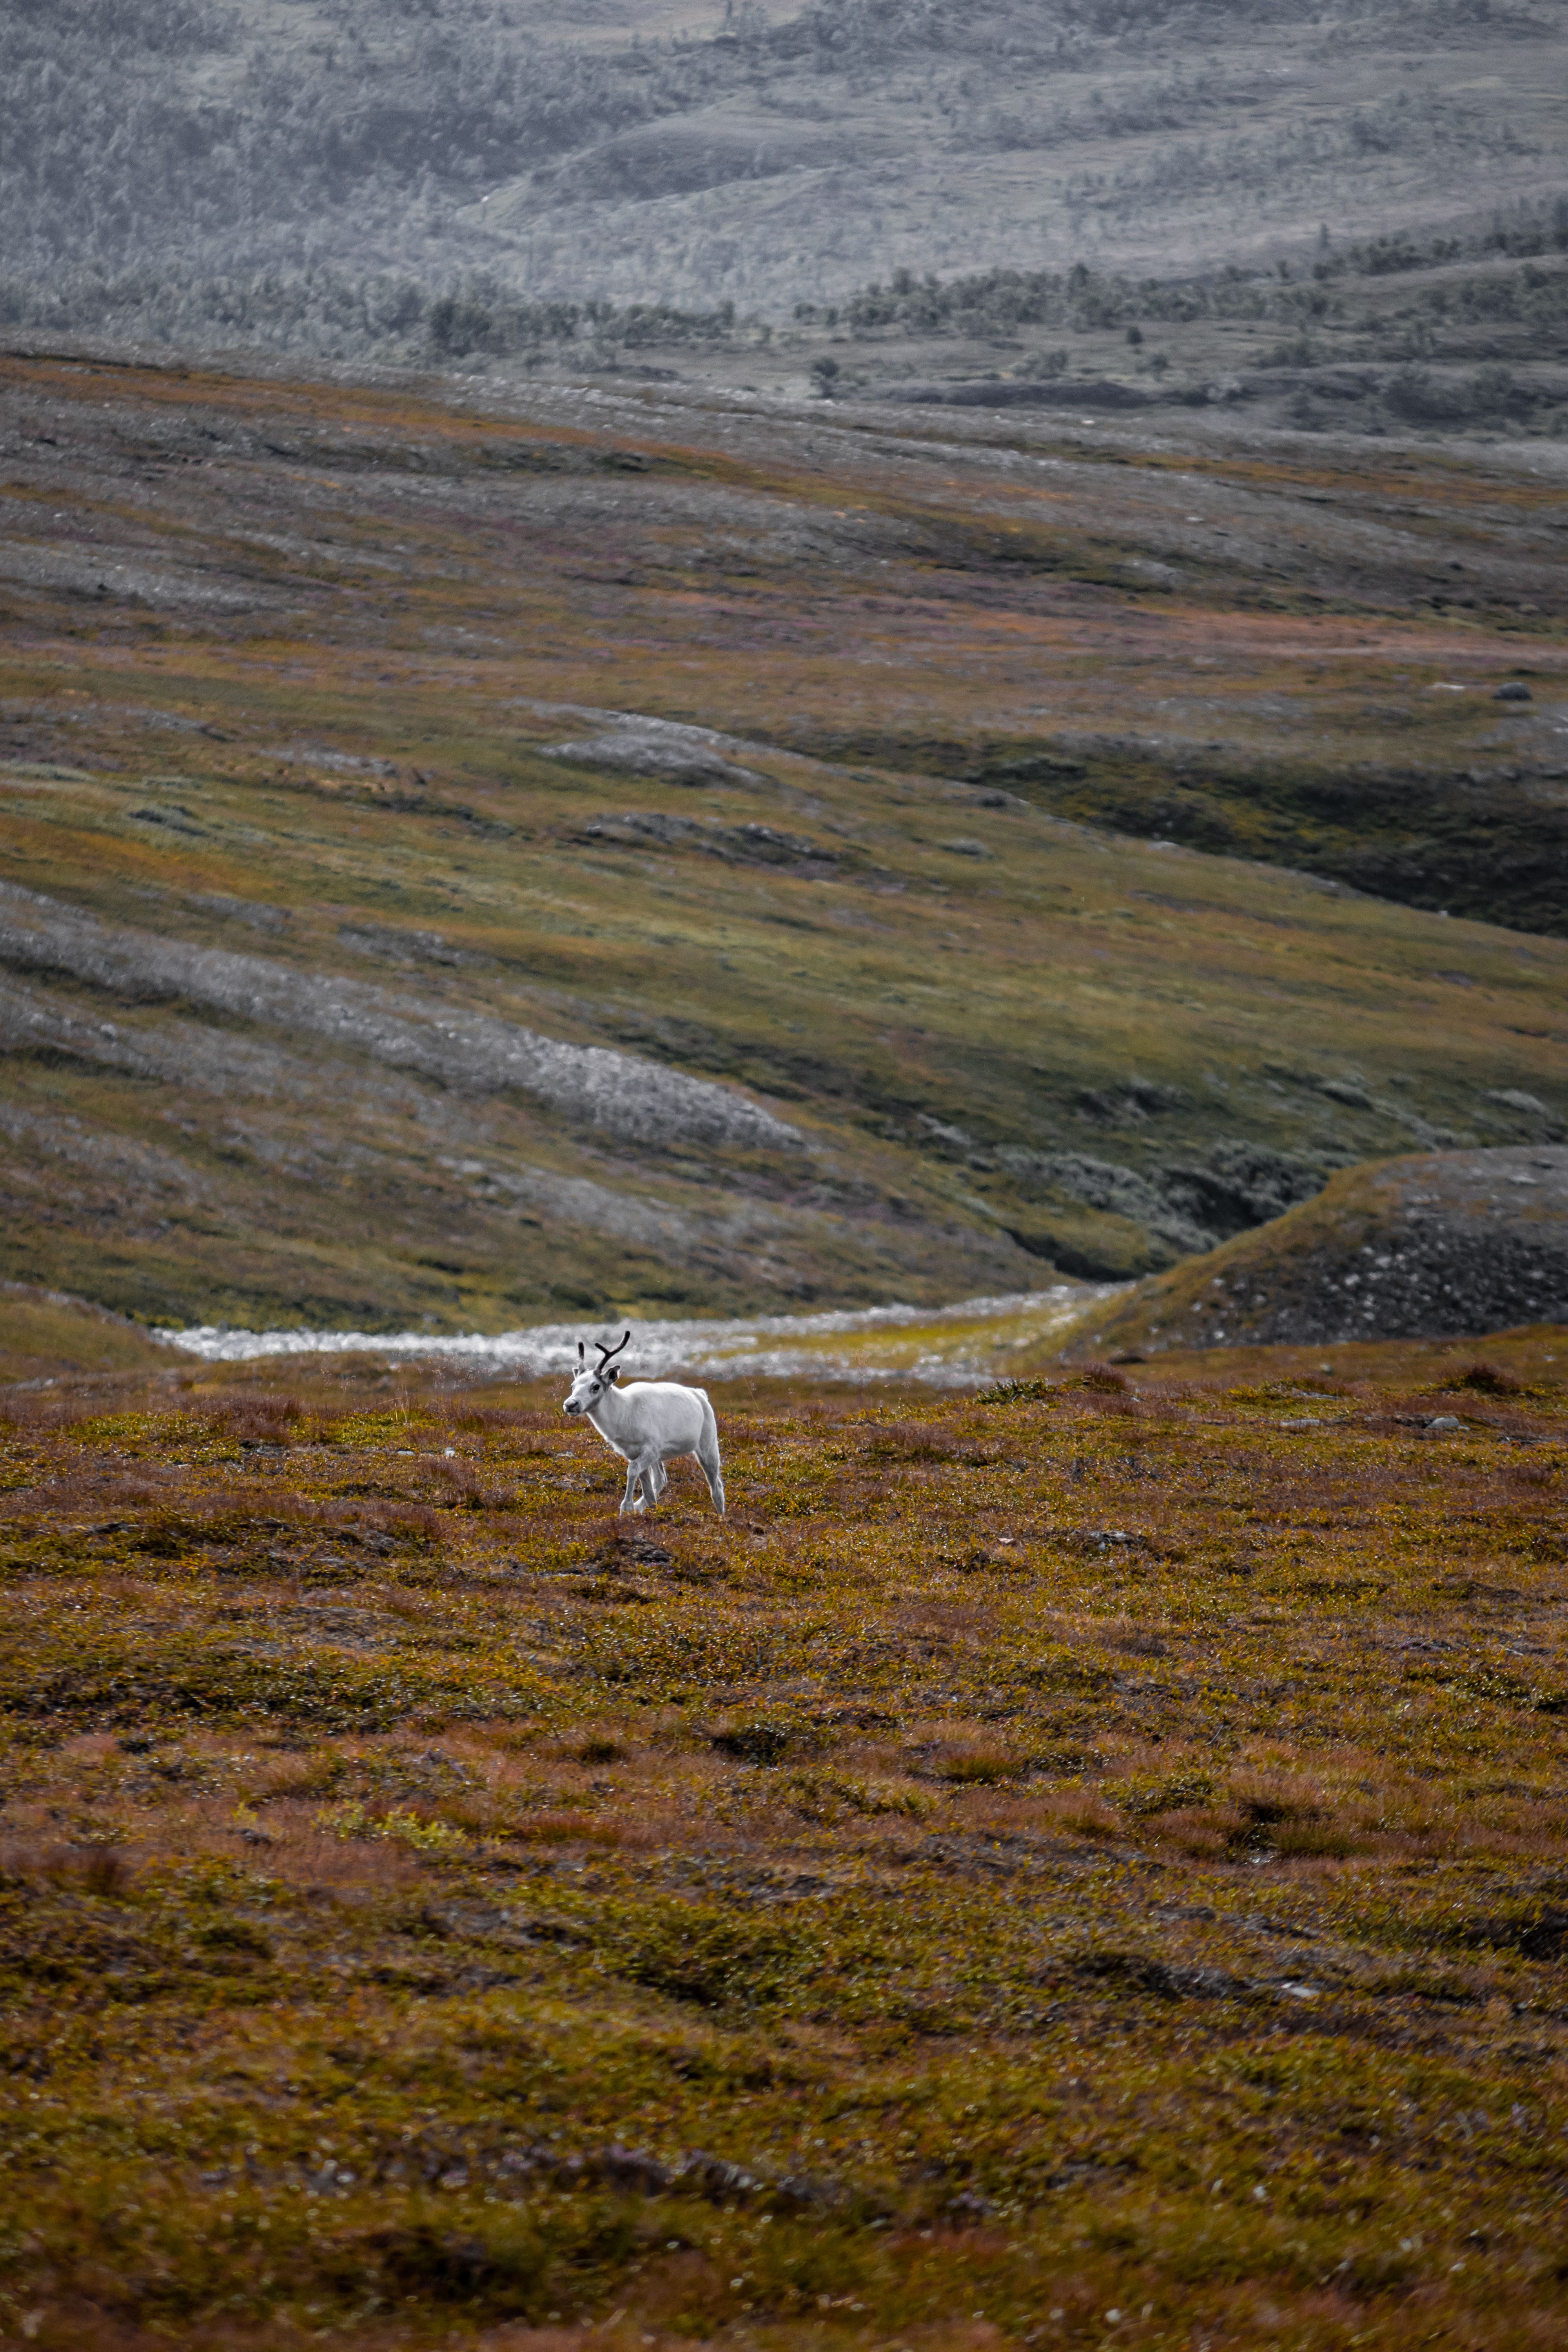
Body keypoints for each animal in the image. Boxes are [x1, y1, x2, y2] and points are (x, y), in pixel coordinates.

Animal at [561, 1330, 726, 1518]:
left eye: (596, 1386)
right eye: (572, 1385)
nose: (570, 1405)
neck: (624, 1415)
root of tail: (701, 1394)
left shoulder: (651, 1449)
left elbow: (632, 1471)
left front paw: (626, 1507)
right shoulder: (634, 1453)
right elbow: (646, 1488)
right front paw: (649, 1511)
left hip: (708, 1445)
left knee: (716, 1487)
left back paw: (721, 1517)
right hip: (661, 1457)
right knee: (661, 1479)